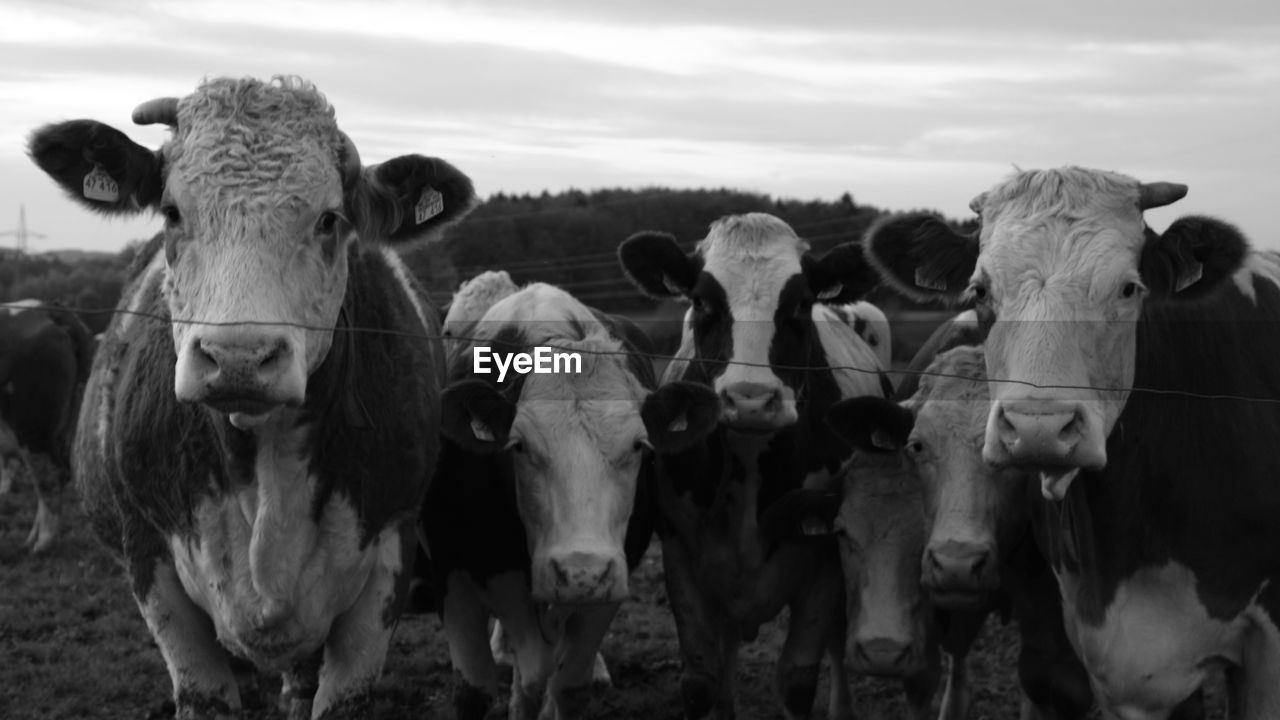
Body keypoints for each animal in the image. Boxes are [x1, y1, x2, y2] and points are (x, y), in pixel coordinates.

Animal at [427, 280, 721, 717]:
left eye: (638, 445)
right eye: (519, 446)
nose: (581, 571)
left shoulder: (612, 578)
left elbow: (567, 686)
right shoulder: (452, 574)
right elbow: (477, 691)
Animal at [616, 212, 890, 717]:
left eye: (801, 302)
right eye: (701, 300)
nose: (750, 400)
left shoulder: (825, 561)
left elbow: (798, 681)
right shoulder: (681, 554)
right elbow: (701, 681)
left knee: (838, 642)